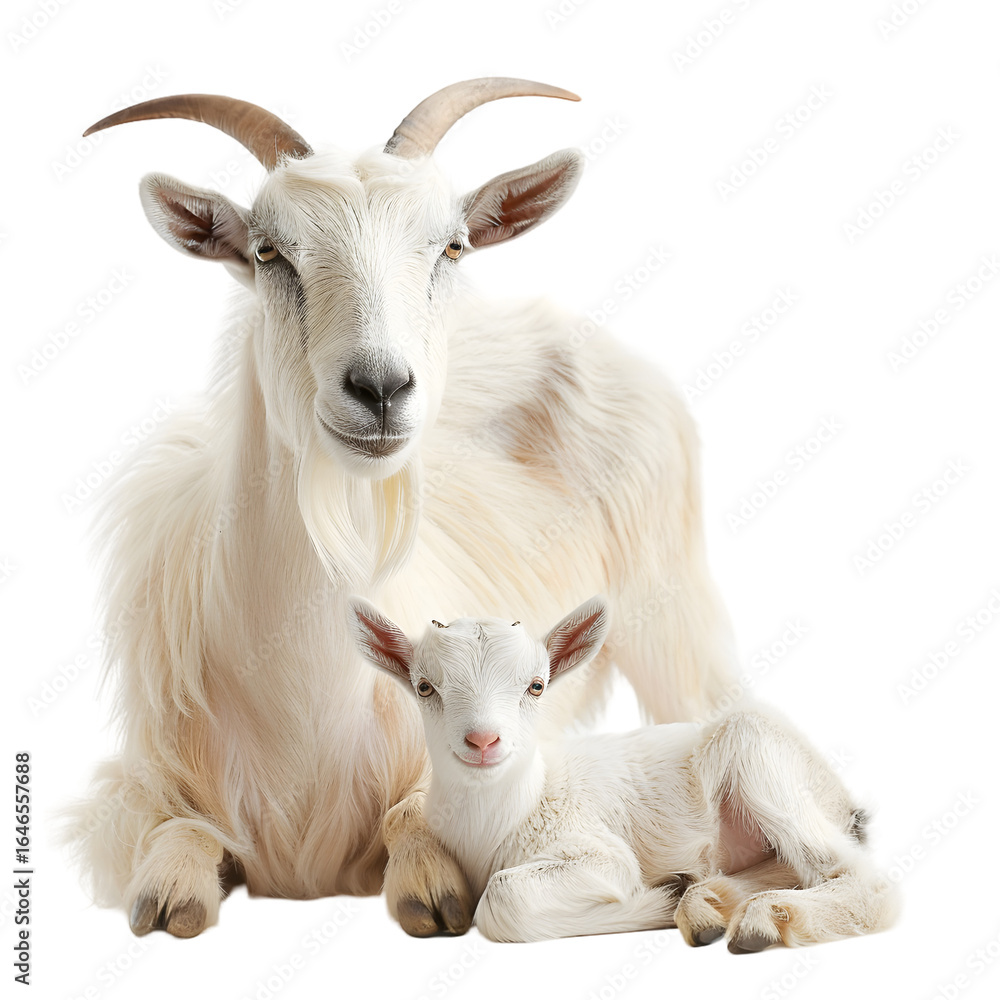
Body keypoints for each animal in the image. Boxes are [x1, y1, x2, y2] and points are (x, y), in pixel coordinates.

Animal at [70, 79, 736, 938]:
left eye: (451, 246)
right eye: (267, 252)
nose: (381, 387)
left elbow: (413, 817)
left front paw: (430, 884)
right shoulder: (132, 784)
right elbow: (175, 828)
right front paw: (172, 890)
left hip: (670, 611)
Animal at [350, 596, 897, 949]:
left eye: (536, 686)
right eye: (424, 687)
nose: (484, 741)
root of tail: (842, 797)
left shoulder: (597, 851)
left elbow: (502, 899)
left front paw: (652, 900)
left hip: (758, 754)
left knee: (864, 881)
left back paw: (755, 920)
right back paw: (706, 905)